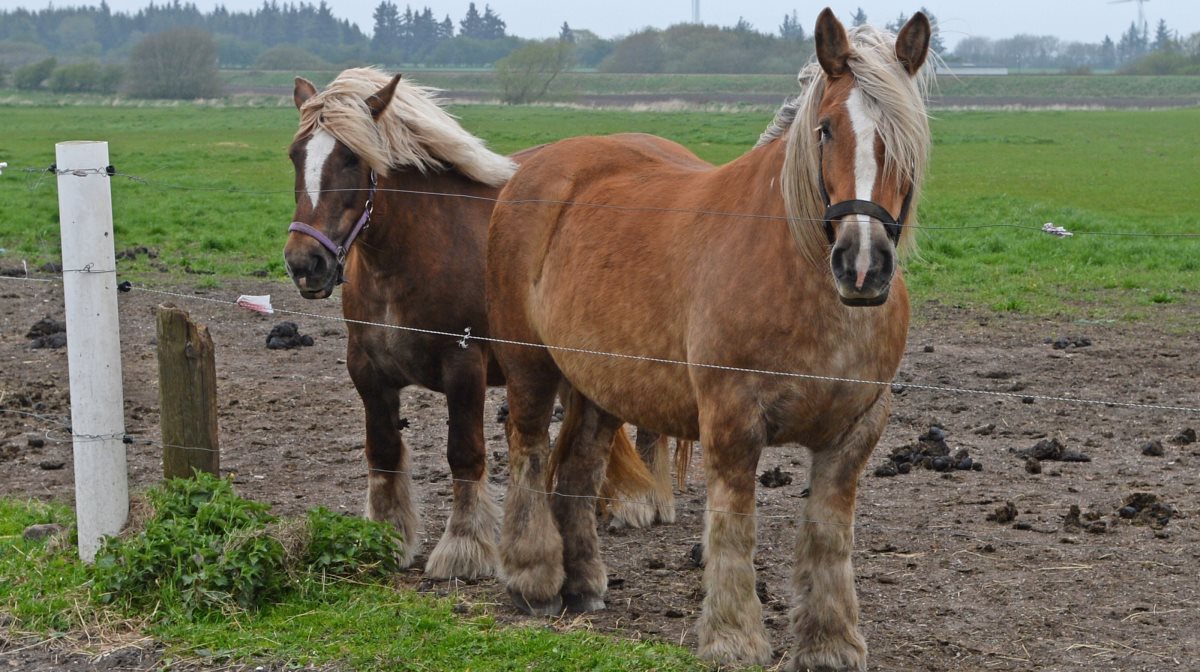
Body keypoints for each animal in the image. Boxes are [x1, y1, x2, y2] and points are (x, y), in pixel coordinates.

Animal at [284, 68, 667, 578]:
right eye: (295, 154)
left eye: (351, 157)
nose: (305, 263)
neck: (409, 256)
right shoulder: (367, 371)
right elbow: (383, 452)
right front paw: (388, 538)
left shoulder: (464, 368)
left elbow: (464, 454)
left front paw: (463, 546)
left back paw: (646, 501)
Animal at [489, 10, 936, 672]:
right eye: (826, 129)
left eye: (905, 135)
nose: (862, 264)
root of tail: (535, 168)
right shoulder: (730, 420)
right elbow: (733, 528)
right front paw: (734, 636)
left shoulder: (855, 430)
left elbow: (828, 534)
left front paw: (831, 642)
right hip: (529, 368)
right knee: (528, 454)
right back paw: (534, 579)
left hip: (602, 385)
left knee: (577, 468)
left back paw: (583, 584)